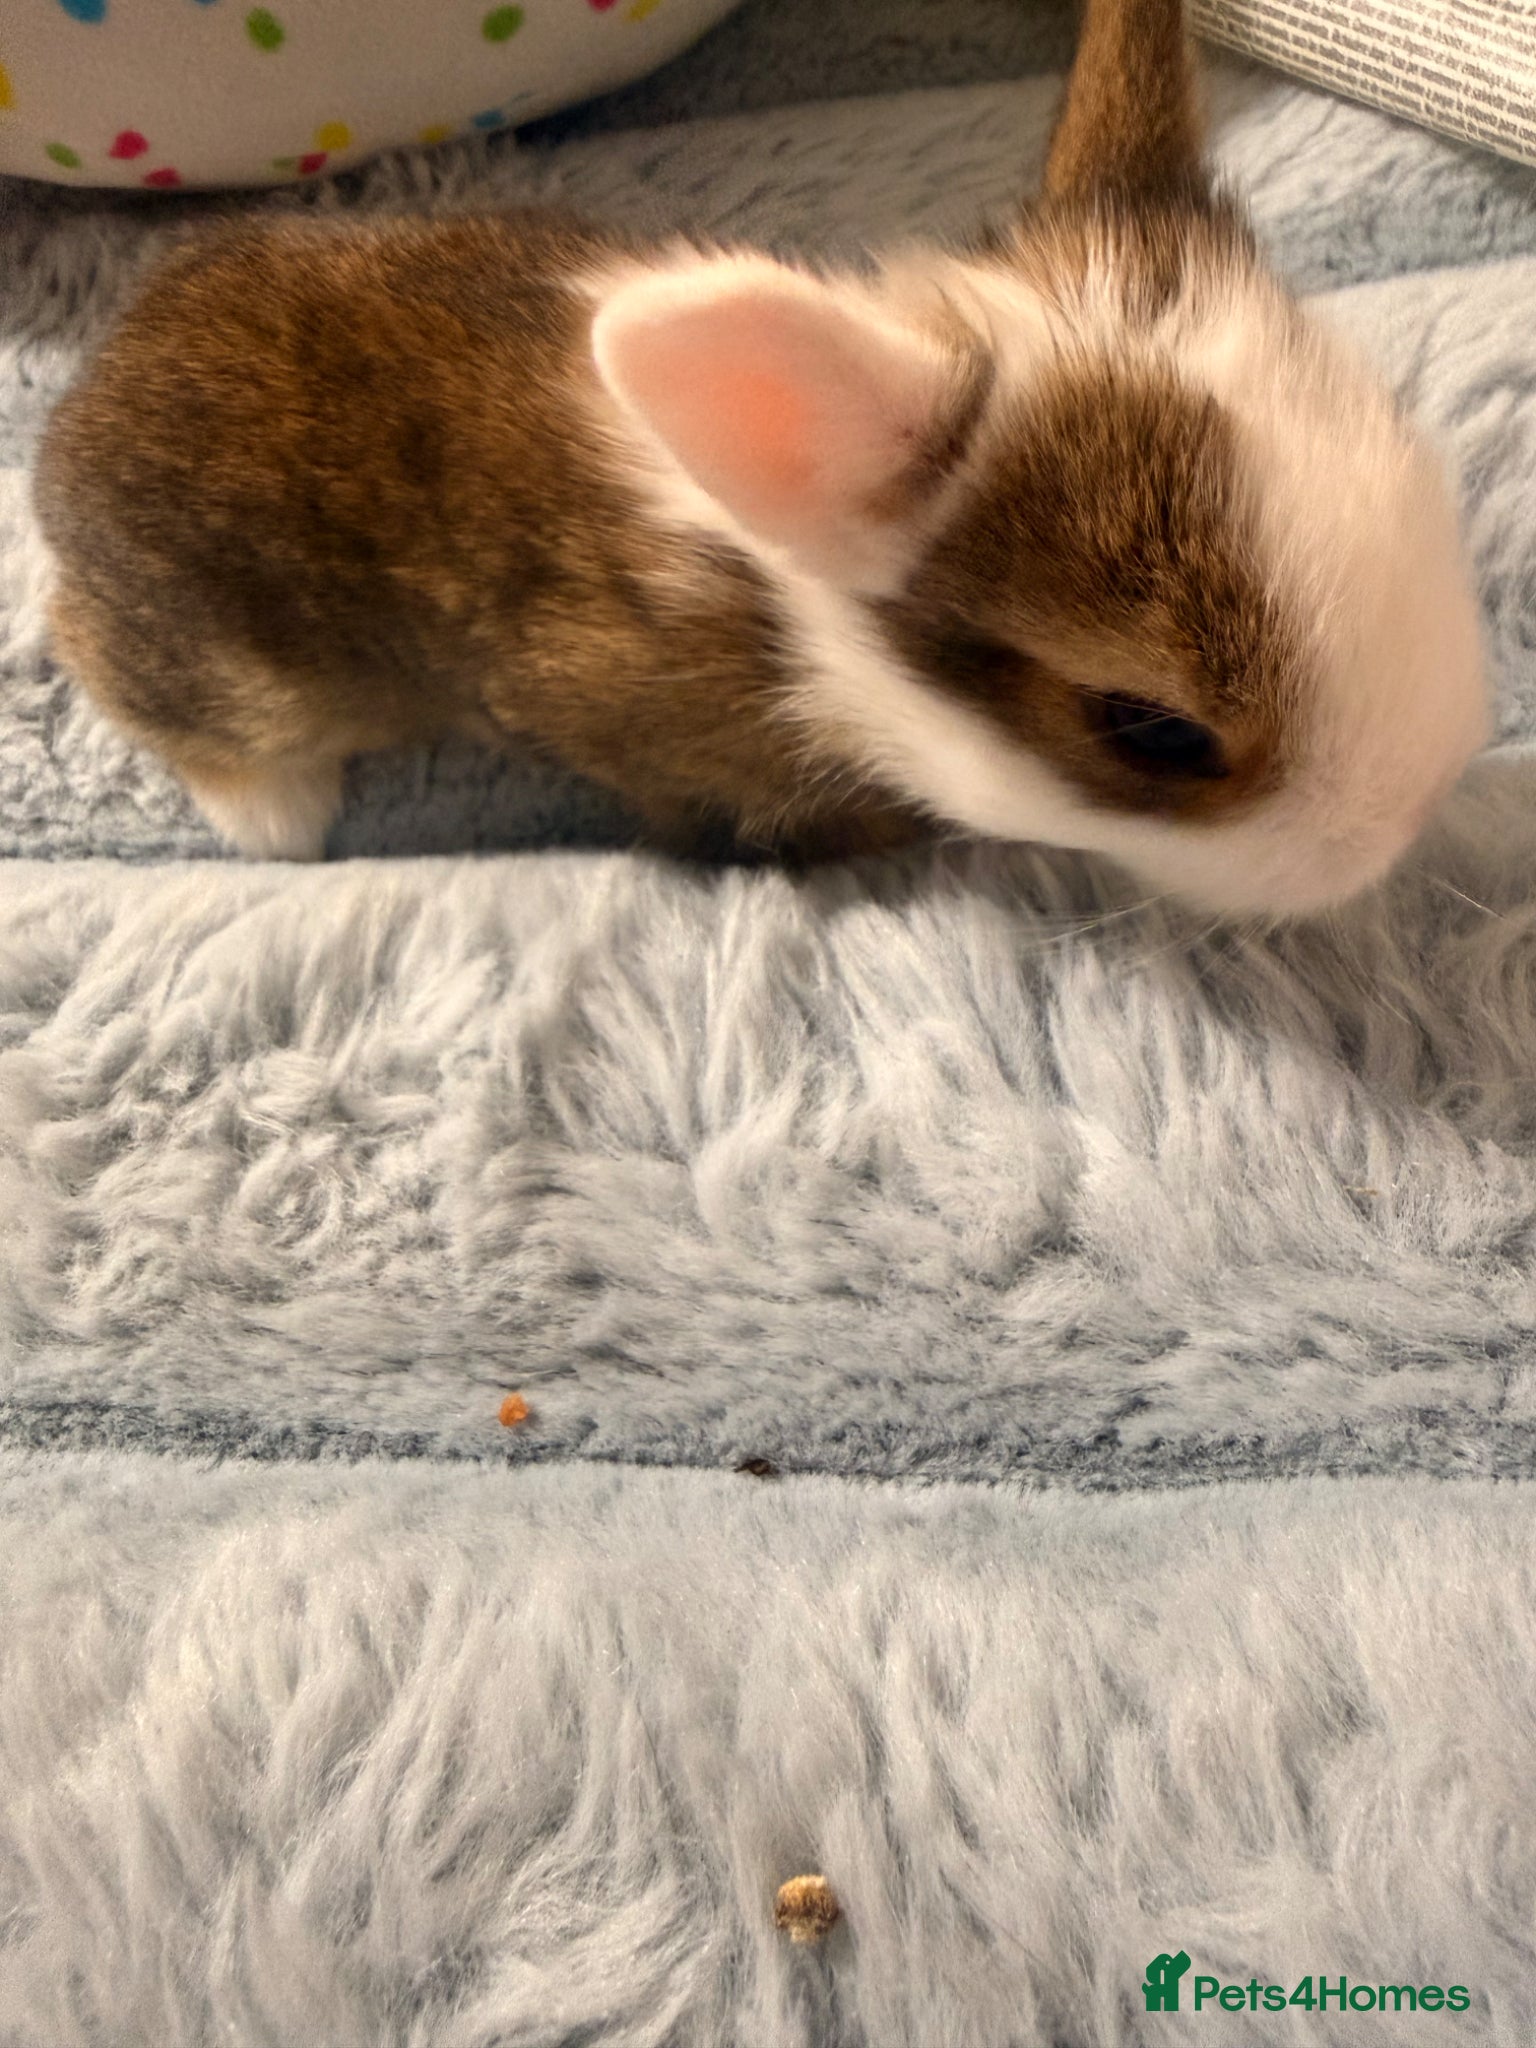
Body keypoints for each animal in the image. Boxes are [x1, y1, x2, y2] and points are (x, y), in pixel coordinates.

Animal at [32, 0, 1489, 915]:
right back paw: (274, 815)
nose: (1406, 820)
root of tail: (81, 407)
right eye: (1156, 729)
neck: (798, 611)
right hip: (223, 664)